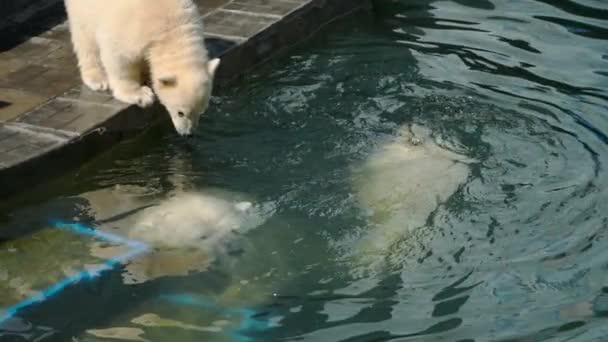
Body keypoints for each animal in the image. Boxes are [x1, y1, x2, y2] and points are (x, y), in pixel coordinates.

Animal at [65, 0, 218, 136]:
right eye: (181, 113)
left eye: (202, 111)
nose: (188, 134)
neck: (172, 30)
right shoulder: (131, 29)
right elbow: (119, 58)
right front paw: (141, 95)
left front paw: (147, 76)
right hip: (84, 9)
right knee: (85, 39)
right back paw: (98, 79)